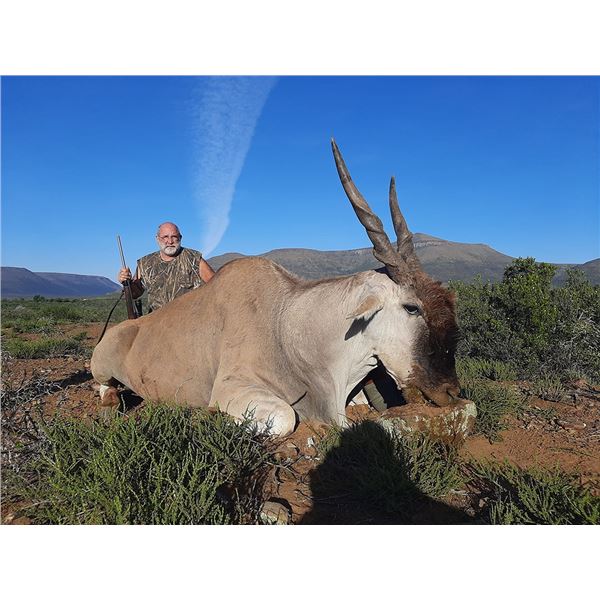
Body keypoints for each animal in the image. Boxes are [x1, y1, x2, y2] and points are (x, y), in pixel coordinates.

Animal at [91, 140, 460, 436]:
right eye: (412, 307)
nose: (452, 392)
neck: (287, 325)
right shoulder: (235, 388)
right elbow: (285, 418)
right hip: (102, 367)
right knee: (103, 385)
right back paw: (111, 403)